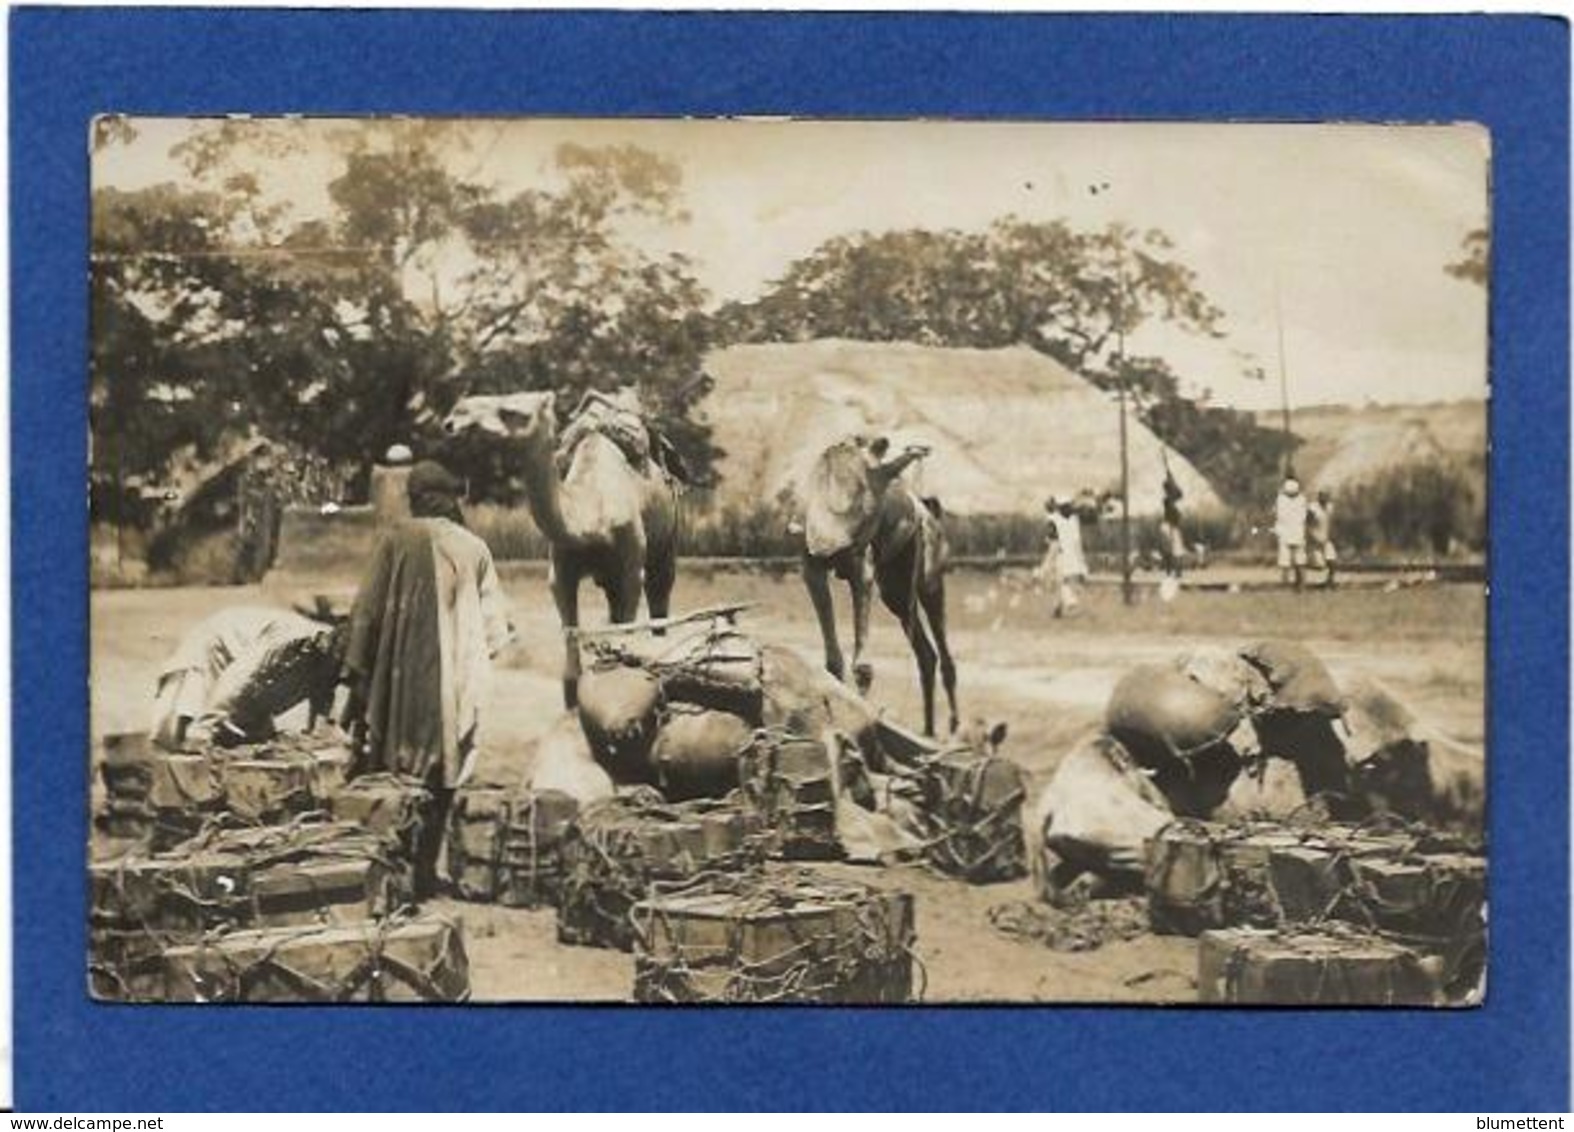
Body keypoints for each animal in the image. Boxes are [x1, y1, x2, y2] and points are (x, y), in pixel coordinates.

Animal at [450, 393, 683, 705]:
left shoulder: (631, 569)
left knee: (659, 598)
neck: (591, 514)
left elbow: (627, 626)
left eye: (513, 412)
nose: (455, 418)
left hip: (667, 540)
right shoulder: (560, 572)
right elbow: (572, 660)